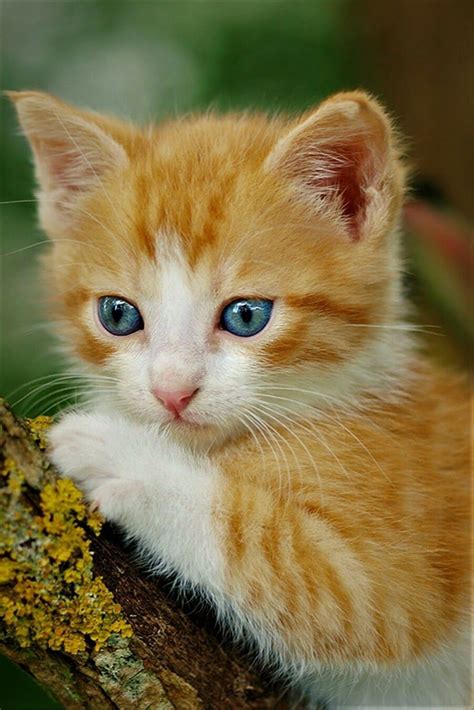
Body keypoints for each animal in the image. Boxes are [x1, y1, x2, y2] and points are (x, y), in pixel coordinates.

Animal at [10, 92, 470, 708]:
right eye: (117, 314)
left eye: (247, 316)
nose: (172, 390)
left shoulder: (393, 578)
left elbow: (271, 550)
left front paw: (119, 452)